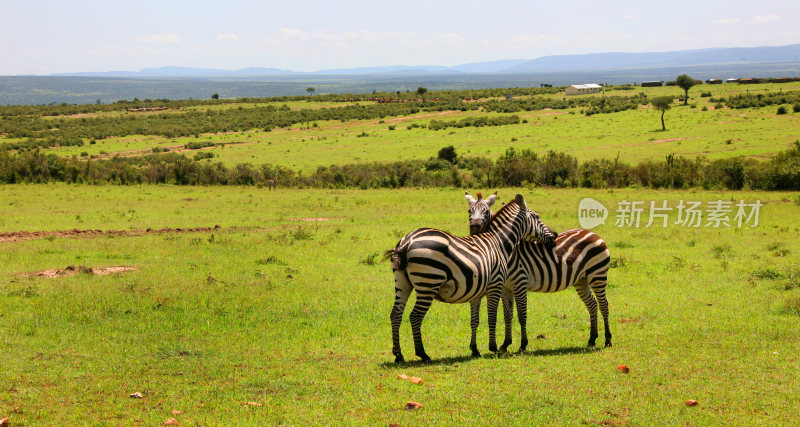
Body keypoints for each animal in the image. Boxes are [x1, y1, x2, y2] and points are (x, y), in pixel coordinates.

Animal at [386, 196, 556, 362]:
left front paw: (474, 350)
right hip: (428, 282)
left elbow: (475, 320)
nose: (554, 235)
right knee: (415, 316)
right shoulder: (495, 285)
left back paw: (398, 355)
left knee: (396, 314)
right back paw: (422, 354)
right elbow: (492, 317)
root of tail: (407, 241)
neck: (499, 243)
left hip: (402, 282)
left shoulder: (477, 291)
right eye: (537, 216)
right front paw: (493, 348)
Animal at [468, 194, 612, 352]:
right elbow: (508, 315)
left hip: (597, 274)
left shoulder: (520, 282)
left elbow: (522, 314)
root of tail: (592, 233)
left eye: (486, 211)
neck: (506, 251)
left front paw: (523, 345)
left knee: (603, 304)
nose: (474, 227)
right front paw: (505, 344)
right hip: (581, 279)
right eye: (469, 211)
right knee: (592, 304)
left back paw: (607, 340)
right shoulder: (505, 288)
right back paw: (592, 339)